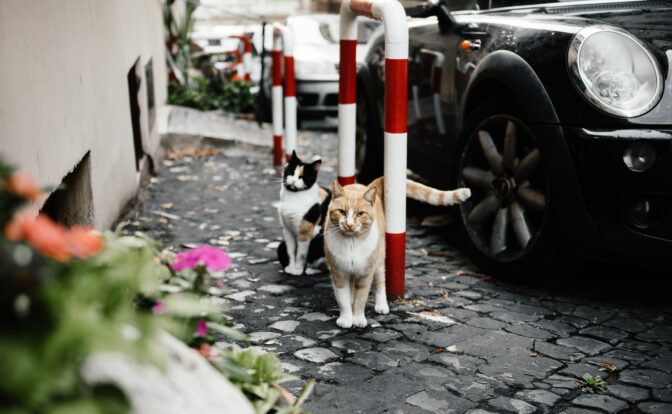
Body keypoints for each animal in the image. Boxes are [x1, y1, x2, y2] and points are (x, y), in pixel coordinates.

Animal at [322, 176, 470, 328]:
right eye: (342, 212)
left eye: (360, 214)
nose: (349, 224)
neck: (351, 242)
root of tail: (367, 185)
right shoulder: (338, 273)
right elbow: (343, 299)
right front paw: (346, 318)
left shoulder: (366, 274)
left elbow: (361, 298)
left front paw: (357, 318)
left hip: (379, 261)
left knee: (381, 283)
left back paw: (381, 305)